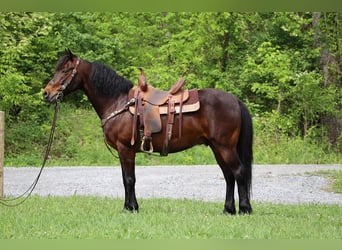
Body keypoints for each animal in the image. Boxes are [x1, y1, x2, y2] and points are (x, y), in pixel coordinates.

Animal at [42, 49, 252, 215]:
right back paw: (228, 210)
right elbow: (126, 179)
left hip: (225, 147)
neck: (117, 102)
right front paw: (129, 206)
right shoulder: (123, 152)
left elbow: (129, 179)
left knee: (239, 172)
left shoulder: (125, 149)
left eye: (66, 70)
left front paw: (131, 208)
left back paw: (244, 209)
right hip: (217, 148)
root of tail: (235, 100)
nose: (46, 93)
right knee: (229, 176)